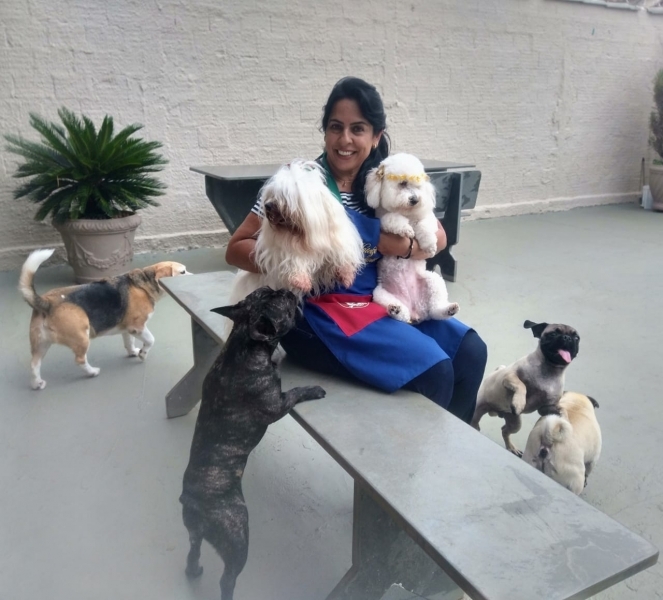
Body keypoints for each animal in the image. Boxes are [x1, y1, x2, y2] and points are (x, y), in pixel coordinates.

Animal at [19, 248, 189, 390]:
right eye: (182, 272)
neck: (143, 285)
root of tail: (48, 302)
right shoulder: (138, 326)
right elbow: (150, 340)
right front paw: (142, 354)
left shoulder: (128, 328)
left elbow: (129, 342)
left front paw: (133, 352)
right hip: (82, 337)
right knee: (79, 360)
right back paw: (92, 372)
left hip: (41, 344)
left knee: (34, 364)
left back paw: (37, 384)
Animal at [180, 287, 326, 600]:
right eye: (282, 304)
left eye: (267, 292)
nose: (285, 289)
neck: (243, 342)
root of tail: (192, 501)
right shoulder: (277, 405)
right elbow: (295, 392)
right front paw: (313, 389)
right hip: (238, 537)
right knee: (227, 578)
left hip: (194, 532)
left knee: (193, 550)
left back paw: (193, 570)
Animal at [365, 153, 459, 323]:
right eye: (402, 183)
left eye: (418, 186)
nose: (415, 199)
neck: (407, 213)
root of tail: (417, 310)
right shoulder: (382, 220)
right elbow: (392, 218)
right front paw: (406, 229)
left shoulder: (428, 219)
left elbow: (424, 226)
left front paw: (429, 245)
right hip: (380, 294)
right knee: (403, 315)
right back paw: (395, 310)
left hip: (433, 281)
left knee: (435, 310)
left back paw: (448, 309)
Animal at [471, 320, 580, 455]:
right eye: (553, 334)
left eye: (576, 338)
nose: (567, 338)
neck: (550, 369)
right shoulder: (510, 377)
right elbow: (522, 385)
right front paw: (519, 402)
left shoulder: (546, 407)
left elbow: (561, 408)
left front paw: (565, 418)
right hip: (478, 408)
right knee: (475, 419)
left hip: (515, 423)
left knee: (504, 430)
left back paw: (511, 447)